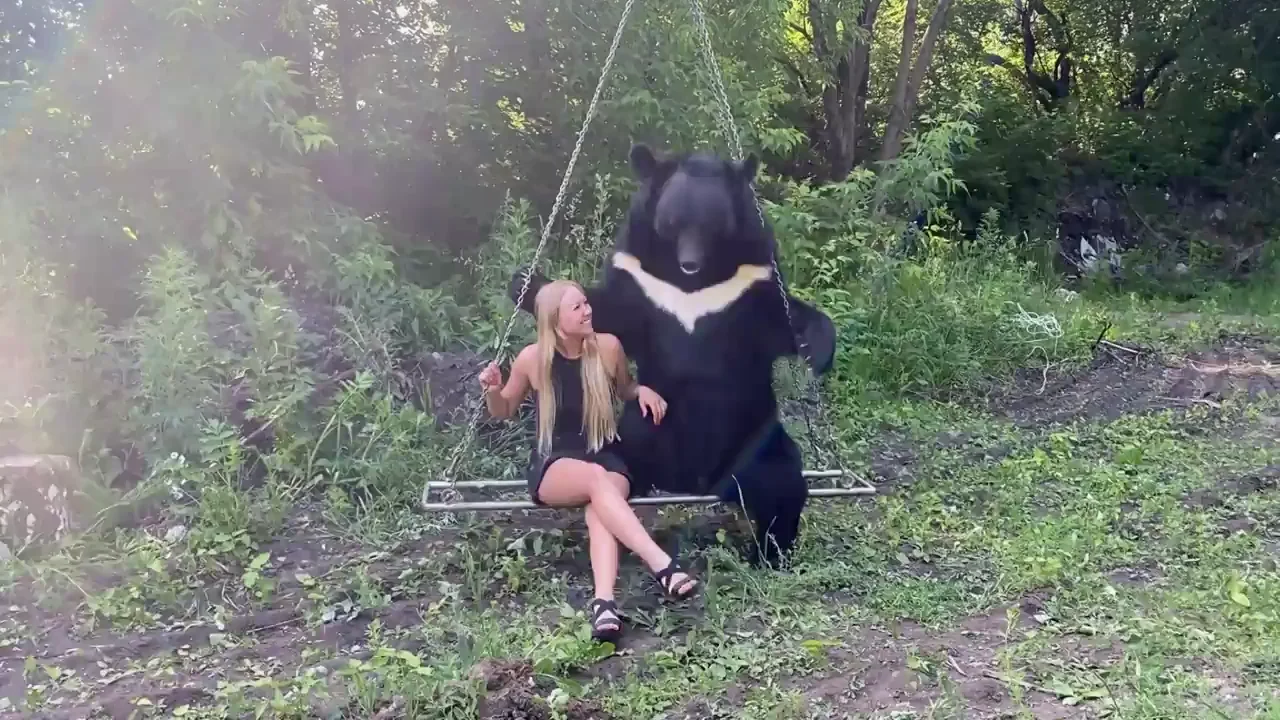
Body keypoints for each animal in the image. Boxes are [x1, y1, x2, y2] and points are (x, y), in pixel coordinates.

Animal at [507, 143, 837, 567]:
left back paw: (769, 555)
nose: (689, 262)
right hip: (637, 433)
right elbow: (613, 312)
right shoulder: (639, 276)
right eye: (672, 222)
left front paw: (819, 349)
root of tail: (694, 481)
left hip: (753, 437)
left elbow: (781, 319)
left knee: (782, 485)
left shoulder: (753, 277)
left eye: (714, 225)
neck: (692, 284)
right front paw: (526, 282)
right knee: (610, 469)